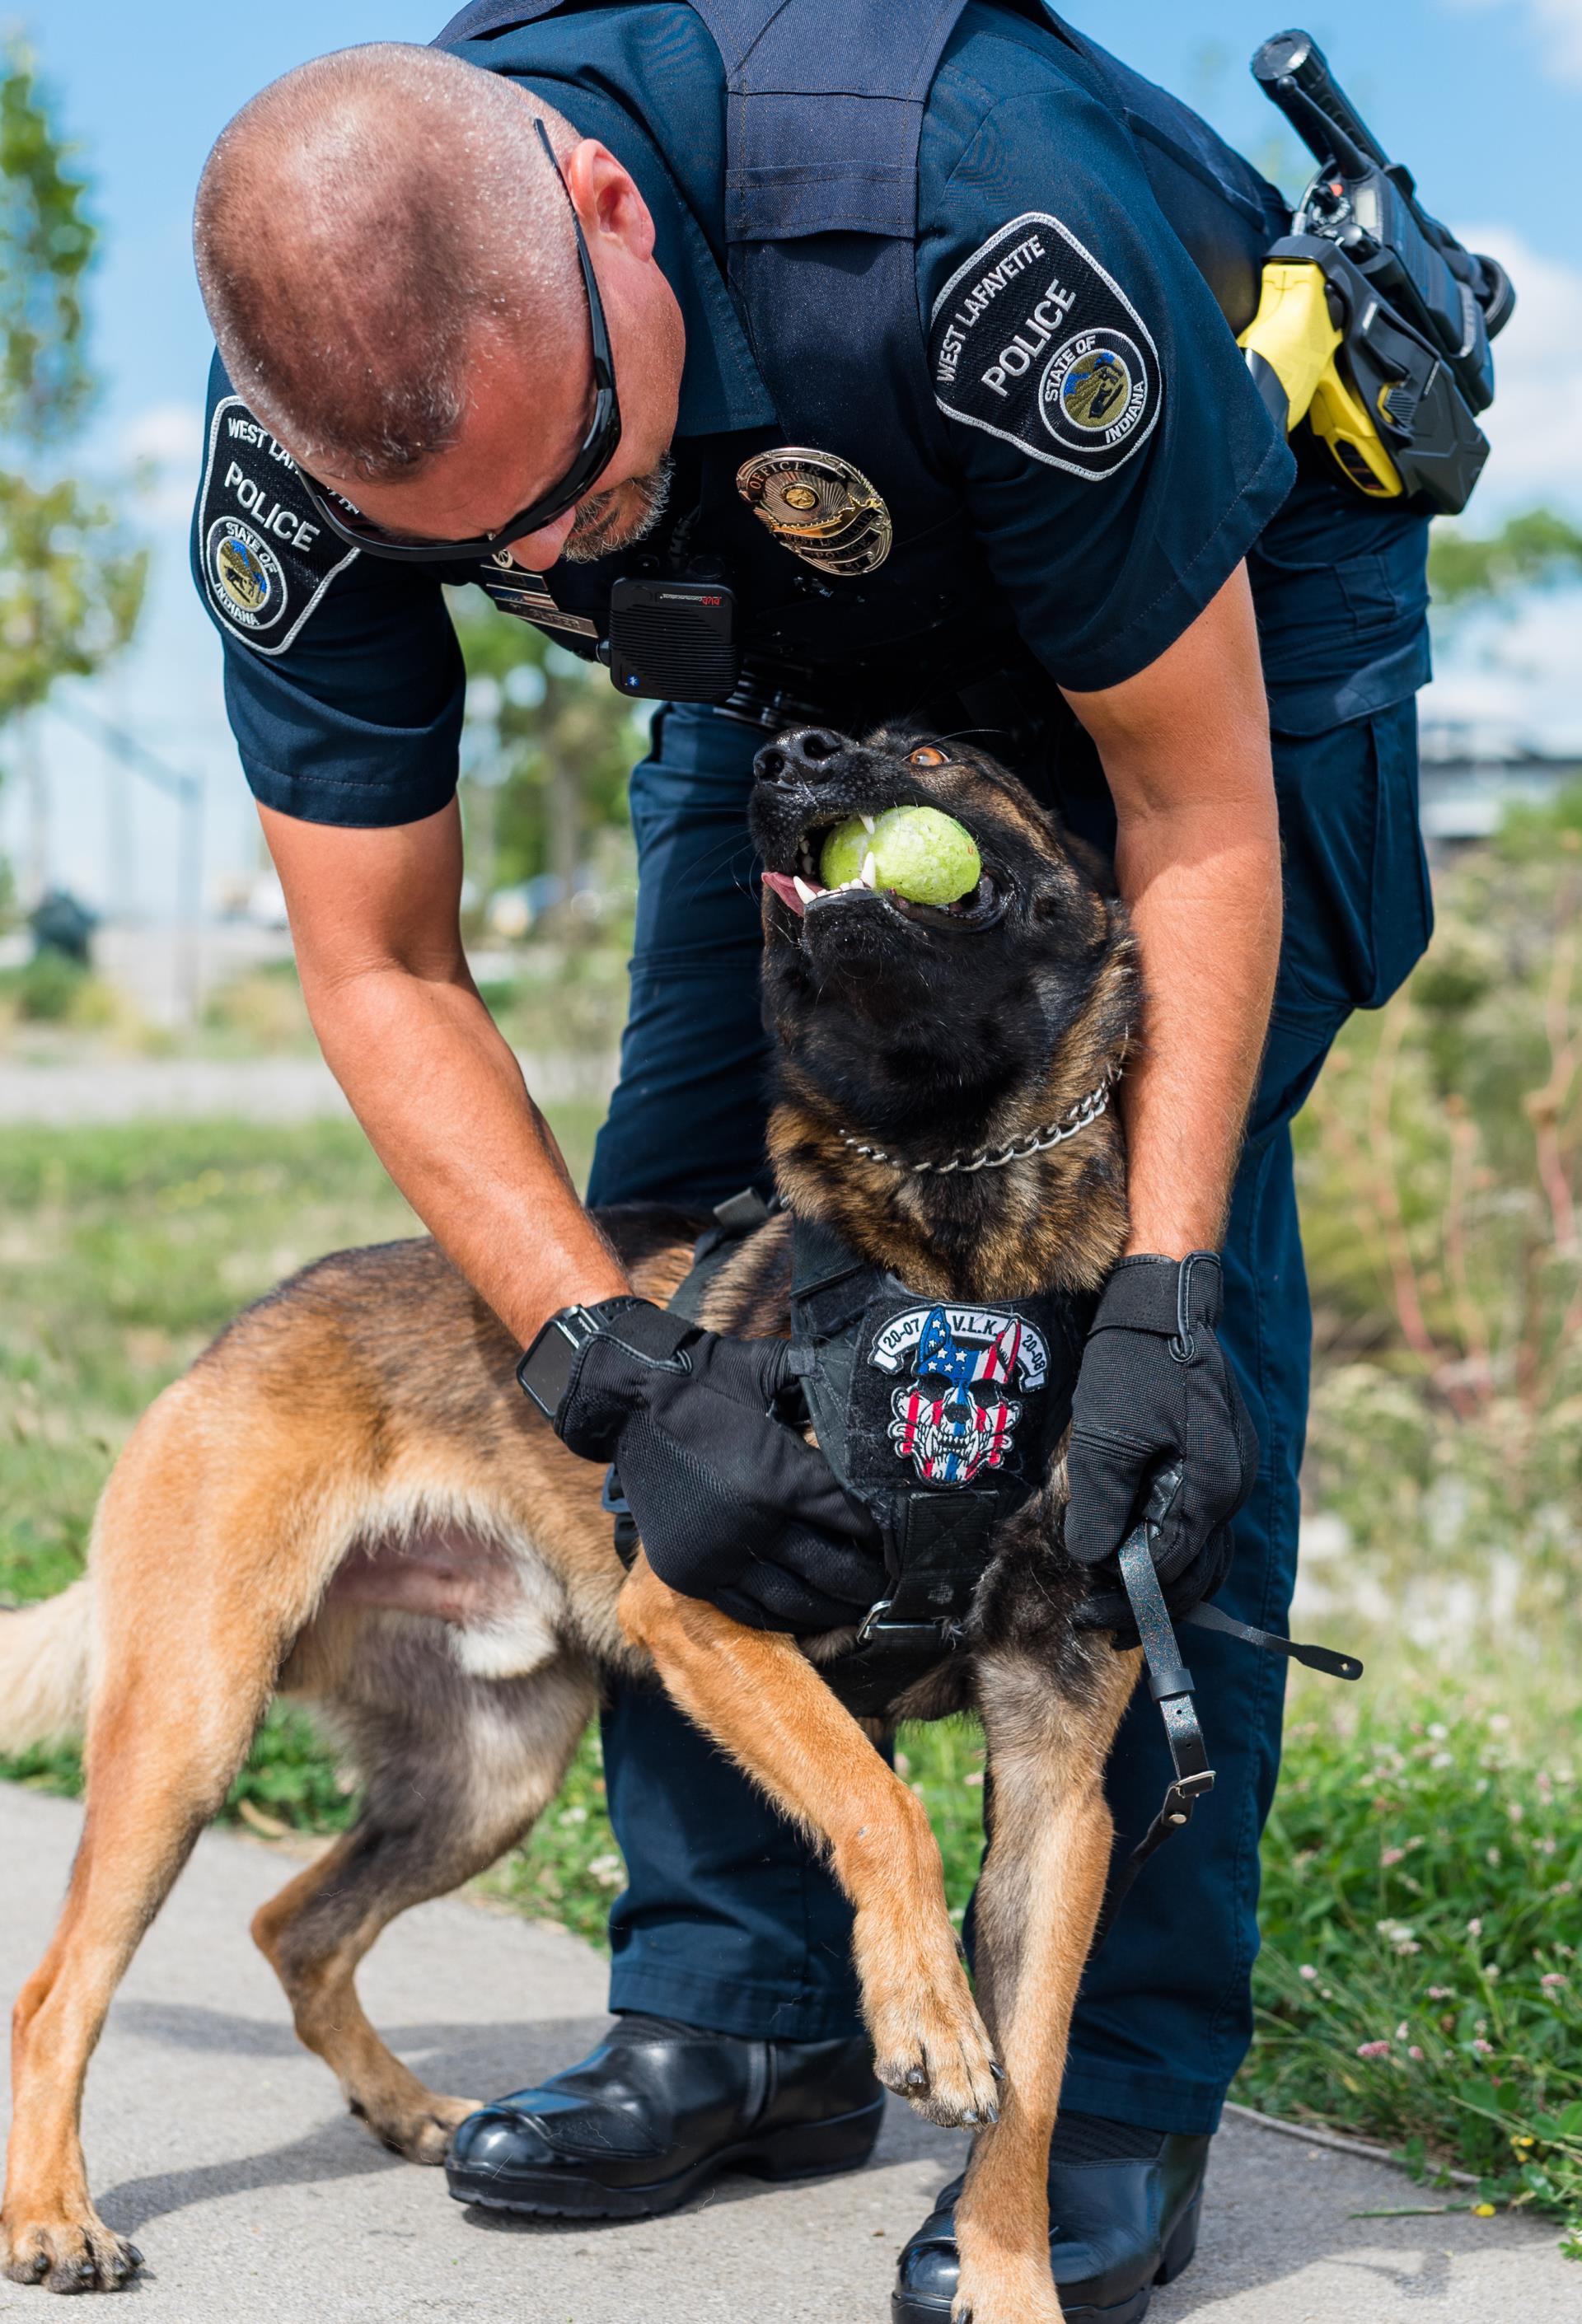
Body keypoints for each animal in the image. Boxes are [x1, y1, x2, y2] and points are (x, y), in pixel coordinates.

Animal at [0, 715, 1133, 2314]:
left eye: (934, 753)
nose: (789, 753)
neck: (954, 1260)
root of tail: (230, 1336)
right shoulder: (709, 1611)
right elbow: (883, 1803)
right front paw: (920, 2007)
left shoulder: (1060, 1781)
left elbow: (1031, 2086)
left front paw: (1014, 2278)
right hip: (191, 1726)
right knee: (56, 1989)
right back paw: (51, 2212)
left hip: (492, 1771)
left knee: (293, 1923)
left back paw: (401, 2104)